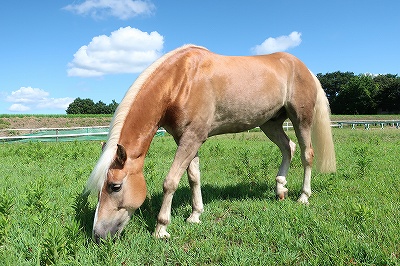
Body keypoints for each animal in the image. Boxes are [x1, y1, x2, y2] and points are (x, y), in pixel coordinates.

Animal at [86, 44, 336, 243]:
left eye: (115, 186)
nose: (98, 235)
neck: (181, 80)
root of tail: (305, 68)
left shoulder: (193, 137)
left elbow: (171, 182)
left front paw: (161, 228)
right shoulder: (186, 138)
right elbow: (193, 177)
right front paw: (195, 215)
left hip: (301, 119)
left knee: (307, 154)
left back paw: (303, 196)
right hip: (271, 123)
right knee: (288, 147)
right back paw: (280, 188)